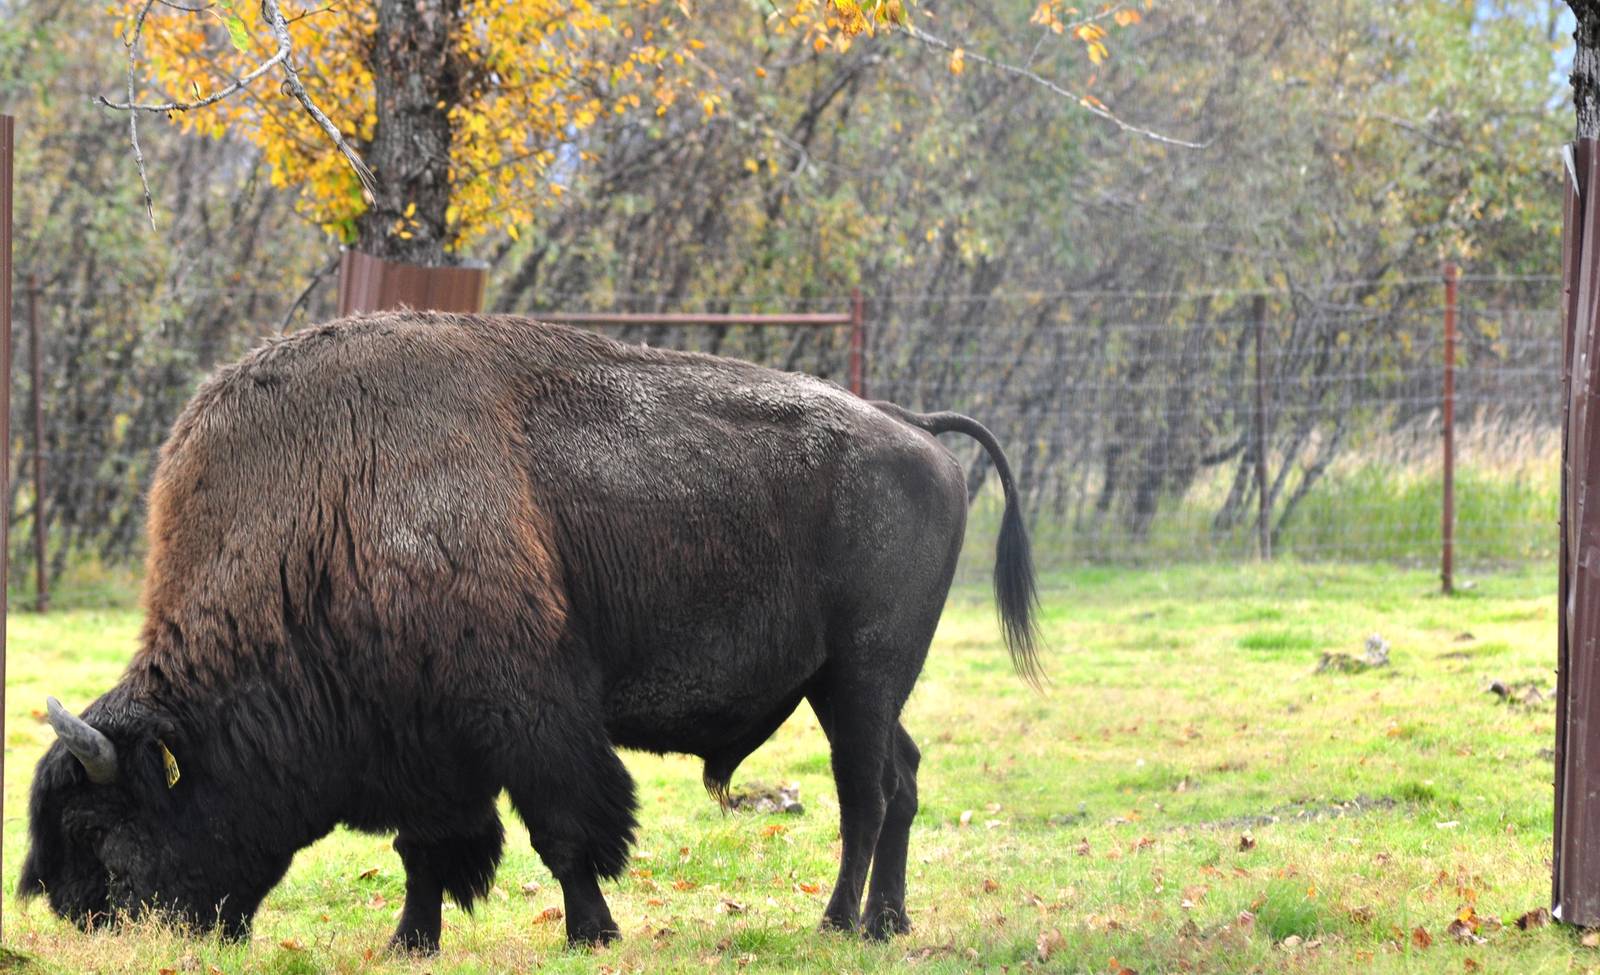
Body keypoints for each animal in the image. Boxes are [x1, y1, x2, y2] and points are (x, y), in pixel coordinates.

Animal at [20, 312, 1040, 953]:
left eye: (101, 831)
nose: (92, 924)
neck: (325, 511)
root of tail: (911, 425)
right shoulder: (422, 740)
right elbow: (427, 847)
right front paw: (410, 940)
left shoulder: (527, 717)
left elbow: (563, 830)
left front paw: (593, 931)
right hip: (858, 688)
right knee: (904, 779)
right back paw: (888, 923)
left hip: (857, 679)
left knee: (867, 794)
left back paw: (837, 924)